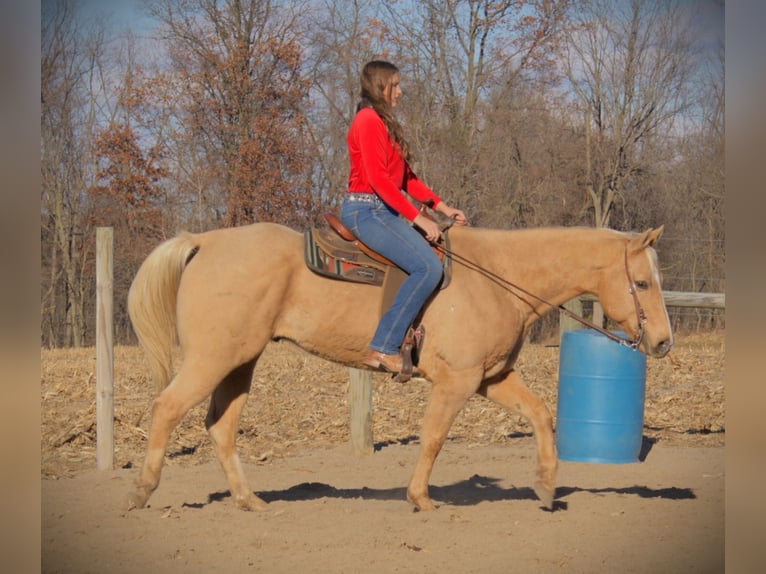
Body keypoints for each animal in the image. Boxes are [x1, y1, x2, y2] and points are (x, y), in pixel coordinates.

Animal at [125, 222, 673, 512]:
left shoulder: (490, 379)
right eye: (643, 283)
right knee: (166, 407)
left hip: (240, 363)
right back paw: (144, 491)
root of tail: (205, 241)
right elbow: (433, 437)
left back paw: (248, 500)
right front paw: (420, 497)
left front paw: (545, 486)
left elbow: (540, 413)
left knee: (221, 425)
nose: (664, 342)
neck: (498, 278)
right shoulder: (457, 382)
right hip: (212, 358)